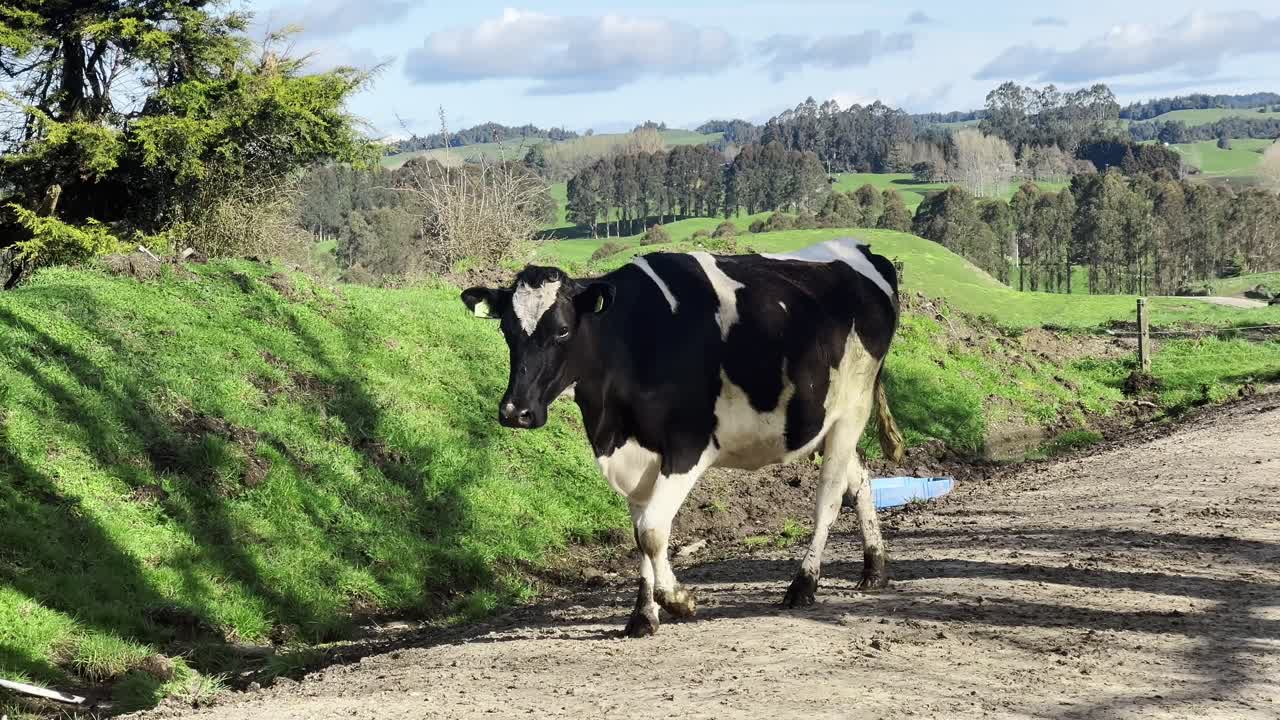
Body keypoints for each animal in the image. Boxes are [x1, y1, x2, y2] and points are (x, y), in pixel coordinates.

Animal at [460, 237, 905, 637]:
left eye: (563, 330)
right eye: (507, 331)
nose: (515, 411)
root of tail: (863, 251)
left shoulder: (688, 446)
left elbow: (652, 531)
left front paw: (679, 600)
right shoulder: (636, 453)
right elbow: (640, 533)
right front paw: (643, 616)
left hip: (853, 408)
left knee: (828, 497)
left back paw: (804, 583)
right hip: (826, 419)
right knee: (859, 479)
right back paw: (874, 567)